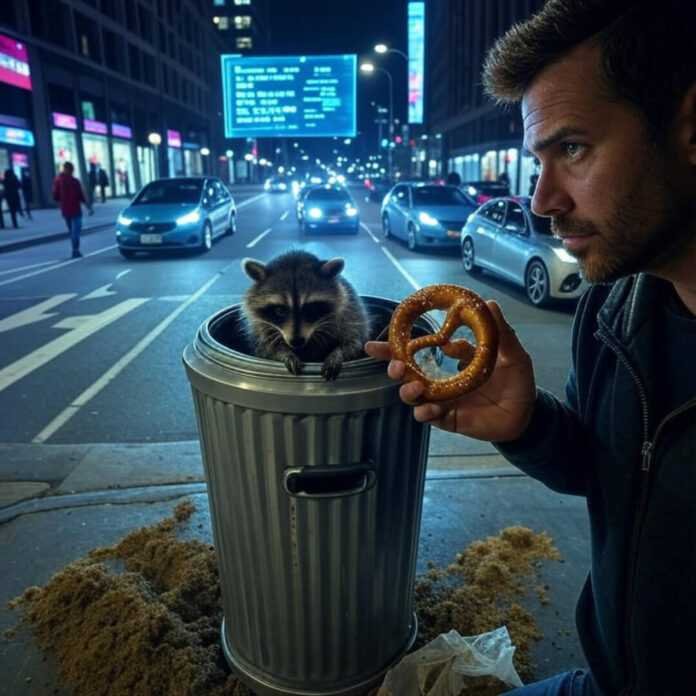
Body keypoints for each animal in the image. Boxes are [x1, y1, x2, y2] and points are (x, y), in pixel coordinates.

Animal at [241, 250, 370, 380]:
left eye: (311, 309)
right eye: (280, 311)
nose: (296, 341)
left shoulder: (350, 312)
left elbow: (354, 342)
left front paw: (337, 354)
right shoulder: (259, 326)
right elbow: (265, 347)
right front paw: (284, 353)